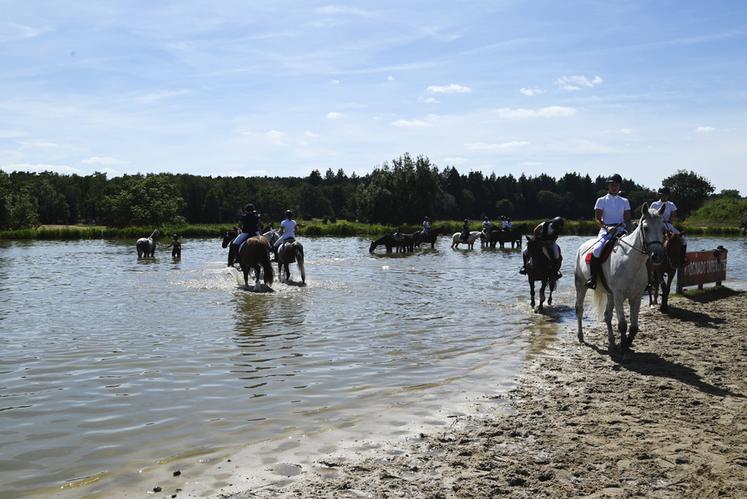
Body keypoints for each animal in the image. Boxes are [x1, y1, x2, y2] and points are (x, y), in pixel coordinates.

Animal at [572, 203, 668, 364]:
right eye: (646, 228)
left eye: (663, 229)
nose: (657, 256)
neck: (629, 260)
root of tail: (582, 247)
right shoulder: (619, 295)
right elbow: (623, 325)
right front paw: (625, 351)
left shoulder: (635, 297)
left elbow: (634, 327)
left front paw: (627, 344)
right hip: (581, 286)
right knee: (579, 309)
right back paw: (581, 337)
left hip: (609, 294)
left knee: (607, 316)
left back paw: (611, 343)